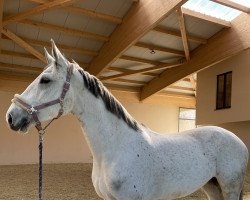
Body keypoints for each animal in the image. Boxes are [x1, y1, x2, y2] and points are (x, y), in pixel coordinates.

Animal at [5, 41, 248, 200]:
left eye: (45, 80)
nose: (11, 116)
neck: (116, 148)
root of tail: (238, 140)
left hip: (230, 186)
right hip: (211, 186)